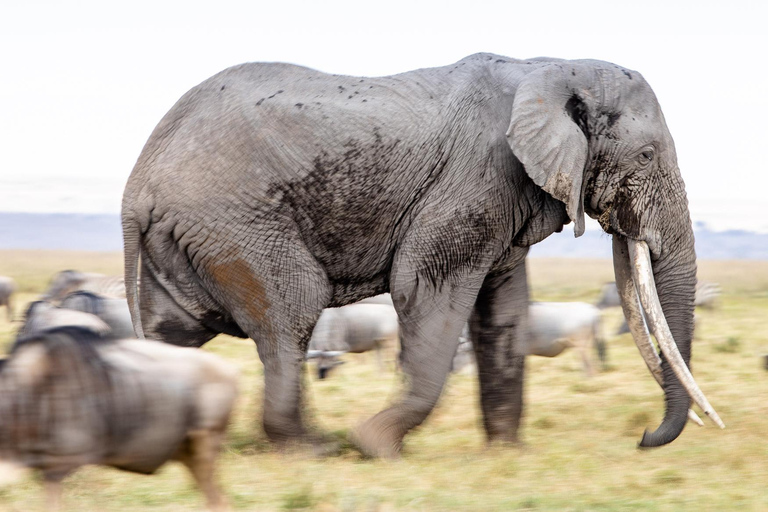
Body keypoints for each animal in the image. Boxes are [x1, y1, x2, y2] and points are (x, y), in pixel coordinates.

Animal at [123, 54, 724, 458]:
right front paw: (374, 445)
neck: (553, 67)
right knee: (291, 314)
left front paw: (506, 456)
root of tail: (138, 183)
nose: (645, 437)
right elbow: (424, 288)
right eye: (645, 156)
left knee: (176, 331)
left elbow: (503, 311)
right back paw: (312, 449)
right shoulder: (474, 178)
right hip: (236, 223)